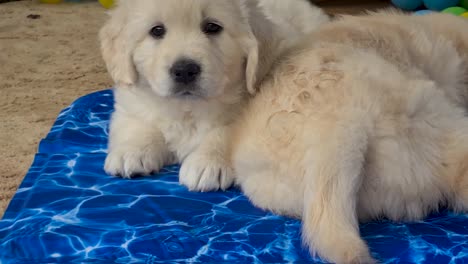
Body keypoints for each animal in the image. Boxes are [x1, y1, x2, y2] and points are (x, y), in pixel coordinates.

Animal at [98, 0, 328, 191]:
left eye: (212, 27)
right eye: (157, 31)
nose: (184, 70)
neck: (187, 108)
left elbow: (224, 132)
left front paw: (207, 163)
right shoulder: (130, 104)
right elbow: (138, 123)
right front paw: (131, 151)